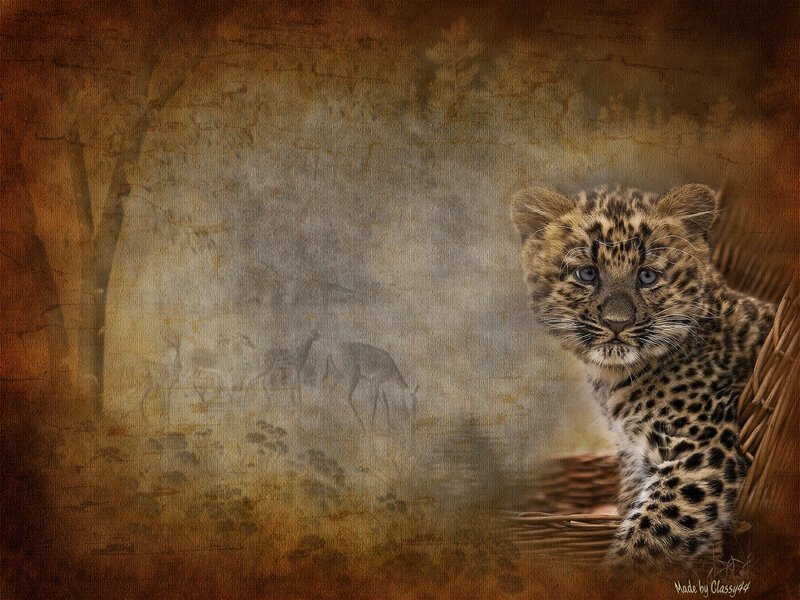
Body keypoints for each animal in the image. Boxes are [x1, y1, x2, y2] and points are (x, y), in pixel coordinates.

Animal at [510, 183, 775, 569]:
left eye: (647, 276)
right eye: (587, 274)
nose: (617, 323)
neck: (615, 378)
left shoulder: (704, 453)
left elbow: (650, 534)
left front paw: (619, 573)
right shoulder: (634, 457)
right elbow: (632, 506)